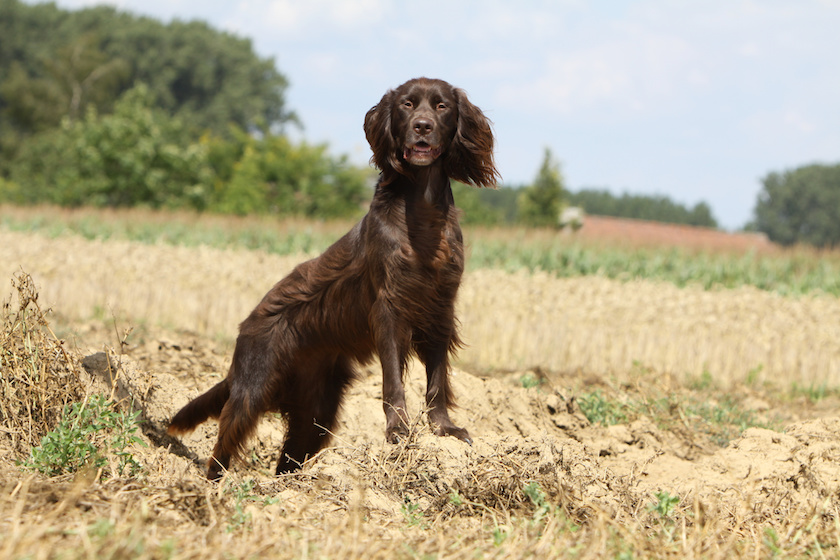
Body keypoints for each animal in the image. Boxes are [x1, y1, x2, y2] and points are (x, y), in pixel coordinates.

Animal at [170, 76, 498, 480]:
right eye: (407, 104)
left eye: (441, 107)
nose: (422, 127)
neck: (421, 212)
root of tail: (246, 326)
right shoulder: (389, 309)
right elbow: (393, 381)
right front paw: (398, 431)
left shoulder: (440, 309)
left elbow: (438, 381)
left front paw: (445, 428)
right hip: (252, 388)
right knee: (223, 446)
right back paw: (213, 486)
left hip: (316, 413)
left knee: (288, 460)